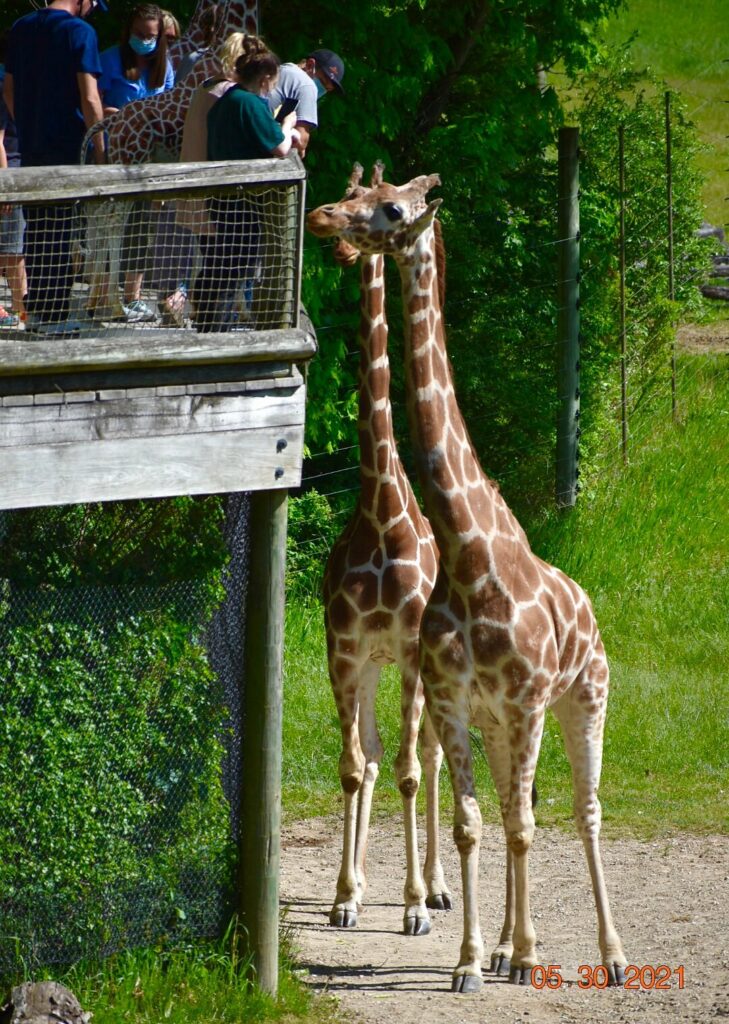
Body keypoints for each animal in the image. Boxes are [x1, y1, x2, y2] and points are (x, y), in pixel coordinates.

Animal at [307, 173, 628, 993]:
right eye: (359, 198)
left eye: (390, 208)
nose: (325, 217)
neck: (467, 555)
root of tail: (588, 604)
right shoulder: (454, 698)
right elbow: (470, 821)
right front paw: (471, 961)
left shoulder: (522, 701)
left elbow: (517, 823)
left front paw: (502, 946)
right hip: (486, 718)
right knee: (487, 800)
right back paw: (506, 942)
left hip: (583, 700)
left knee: (582, 811)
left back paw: (607, 956)